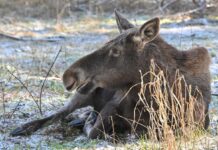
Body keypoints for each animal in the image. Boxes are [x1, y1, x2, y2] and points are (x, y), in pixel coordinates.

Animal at [10, 10, 211, 139]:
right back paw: (23, 128)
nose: (68, 75)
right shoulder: (110, 107)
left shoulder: (197, 123)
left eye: (115, 50)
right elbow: (93, 131)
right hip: (82, 96)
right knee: (58, 114)